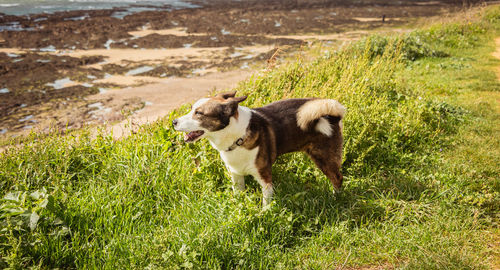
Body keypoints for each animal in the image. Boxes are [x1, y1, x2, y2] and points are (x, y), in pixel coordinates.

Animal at [172, 92, 344, 206]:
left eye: (199, 113)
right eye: (192, 109)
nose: (174, 122)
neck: (237, 136)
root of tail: (333, 114)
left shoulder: (265, 178)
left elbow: (266, 203)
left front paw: (264, 214)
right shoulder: (236, 175)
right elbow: (239, 195)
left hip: (323, 157)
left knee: (337, 178)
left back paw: (335, 199)